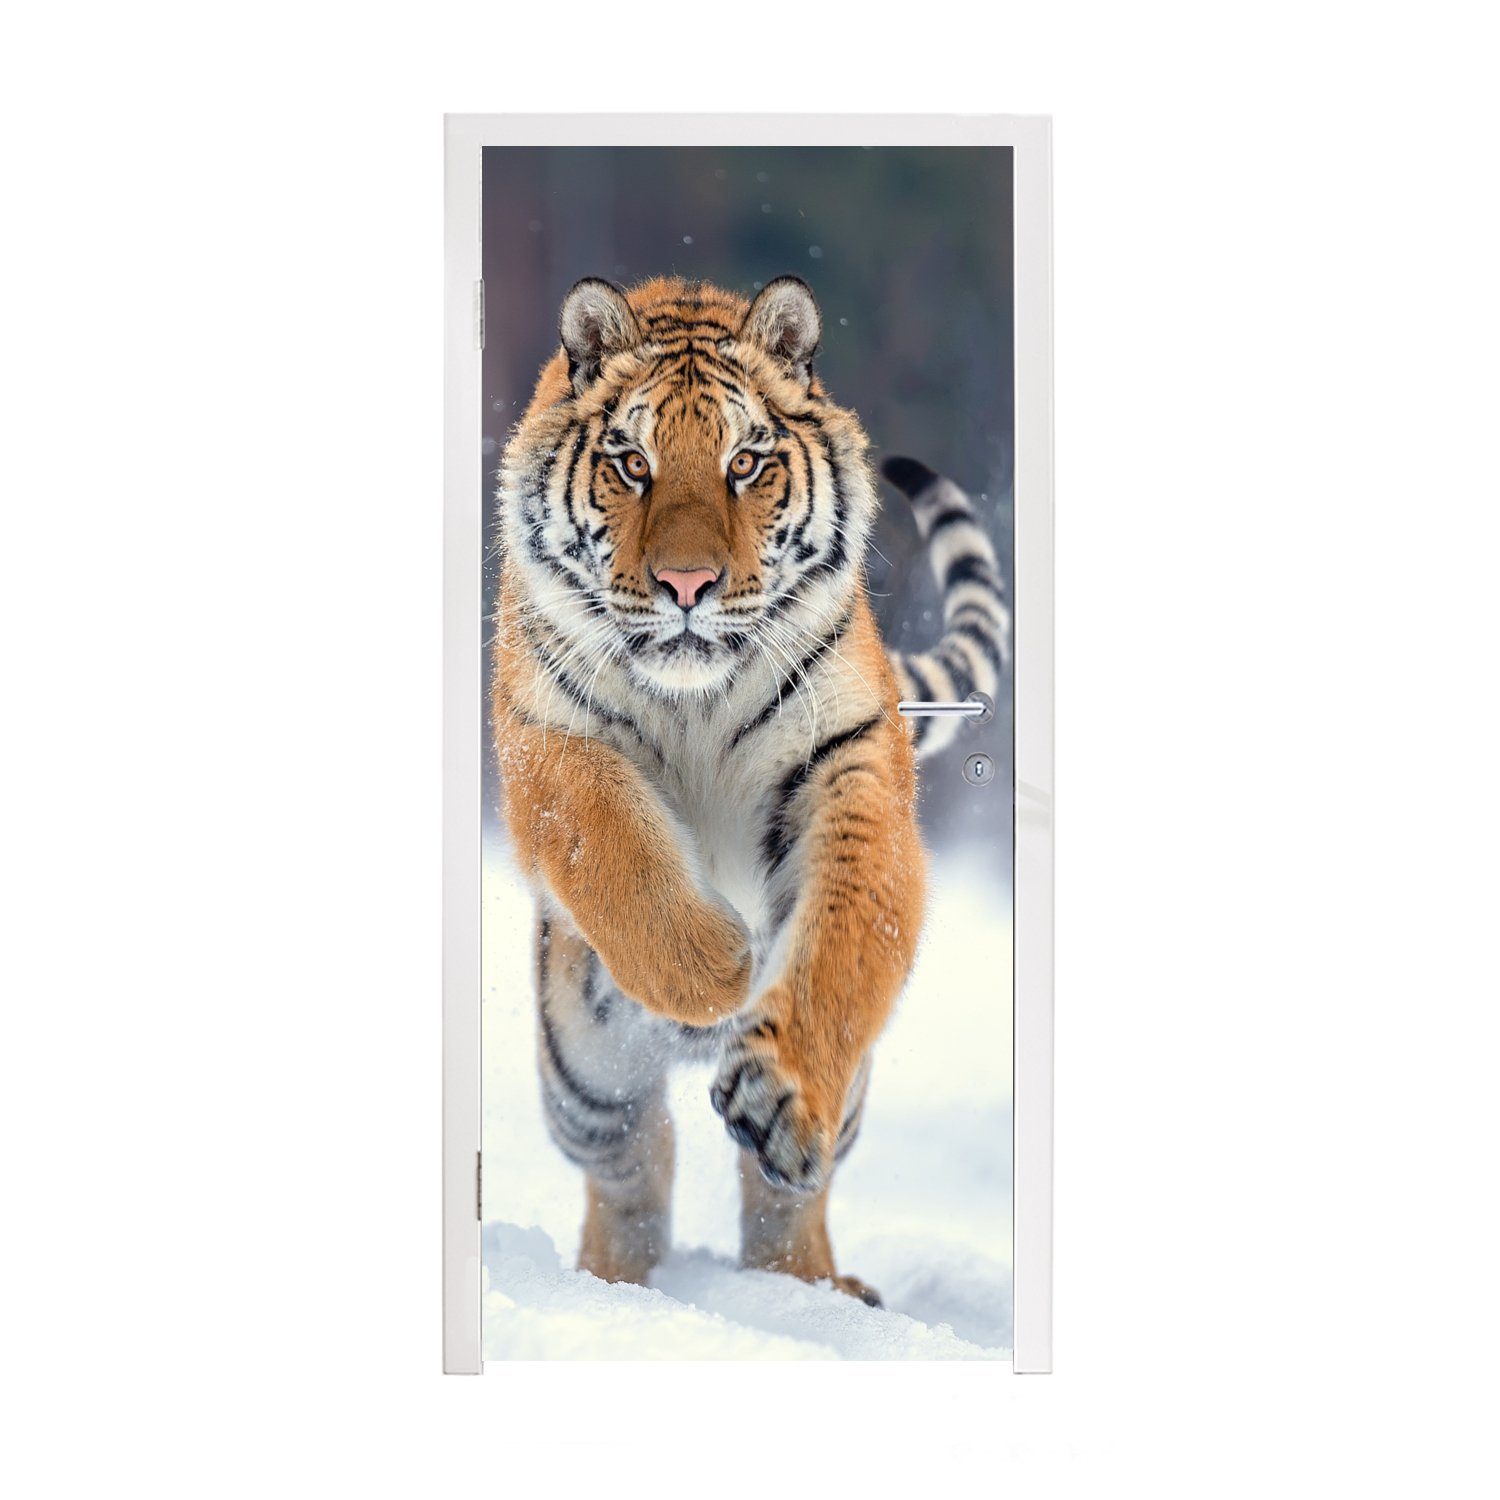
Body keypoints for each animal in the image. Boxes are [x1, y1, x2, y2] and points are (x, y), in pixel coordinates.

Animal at [491, 274, 1009, 1306]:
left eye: (745, 462)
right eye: (632, 463)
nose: (687, 583)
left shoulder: (851, 765)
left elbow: (847, 937)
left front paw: (779, 1086)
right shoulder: (545, 739)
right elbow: (611, 844)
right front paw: (718, 966)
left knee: (781, 1196)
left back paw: (811, 1288)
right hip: (583, 1076)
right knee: (633, 1163)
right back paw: (615, 1286)